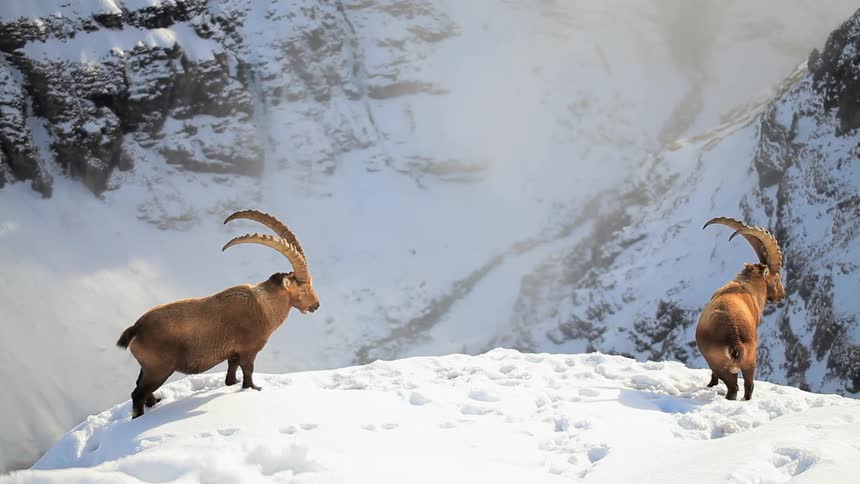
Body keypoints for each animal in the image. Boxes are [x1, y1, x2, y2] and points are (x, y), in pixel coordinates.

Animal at [116, 210, 320, 418]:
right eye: (303, 288)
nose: (316, 305)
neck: (264, 306)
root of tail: (137, 328)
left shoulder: (233, 351)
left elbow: (232, 369)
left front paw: (233, 383)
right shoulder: (249, 349)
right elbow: (248, 370)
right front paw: (253, 388)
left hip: (148, 368)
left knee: (141, 388)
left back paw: (156, 402)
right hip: (159, 369)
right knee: (137, 394)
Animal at [696, 217, 785, 400]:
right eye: (777, 279)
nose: (782, 295)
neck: (747, 287)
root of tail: (735, 339)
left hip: (724, 364)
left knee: (735, 387)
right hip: (750, 360)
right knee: (746, 387)